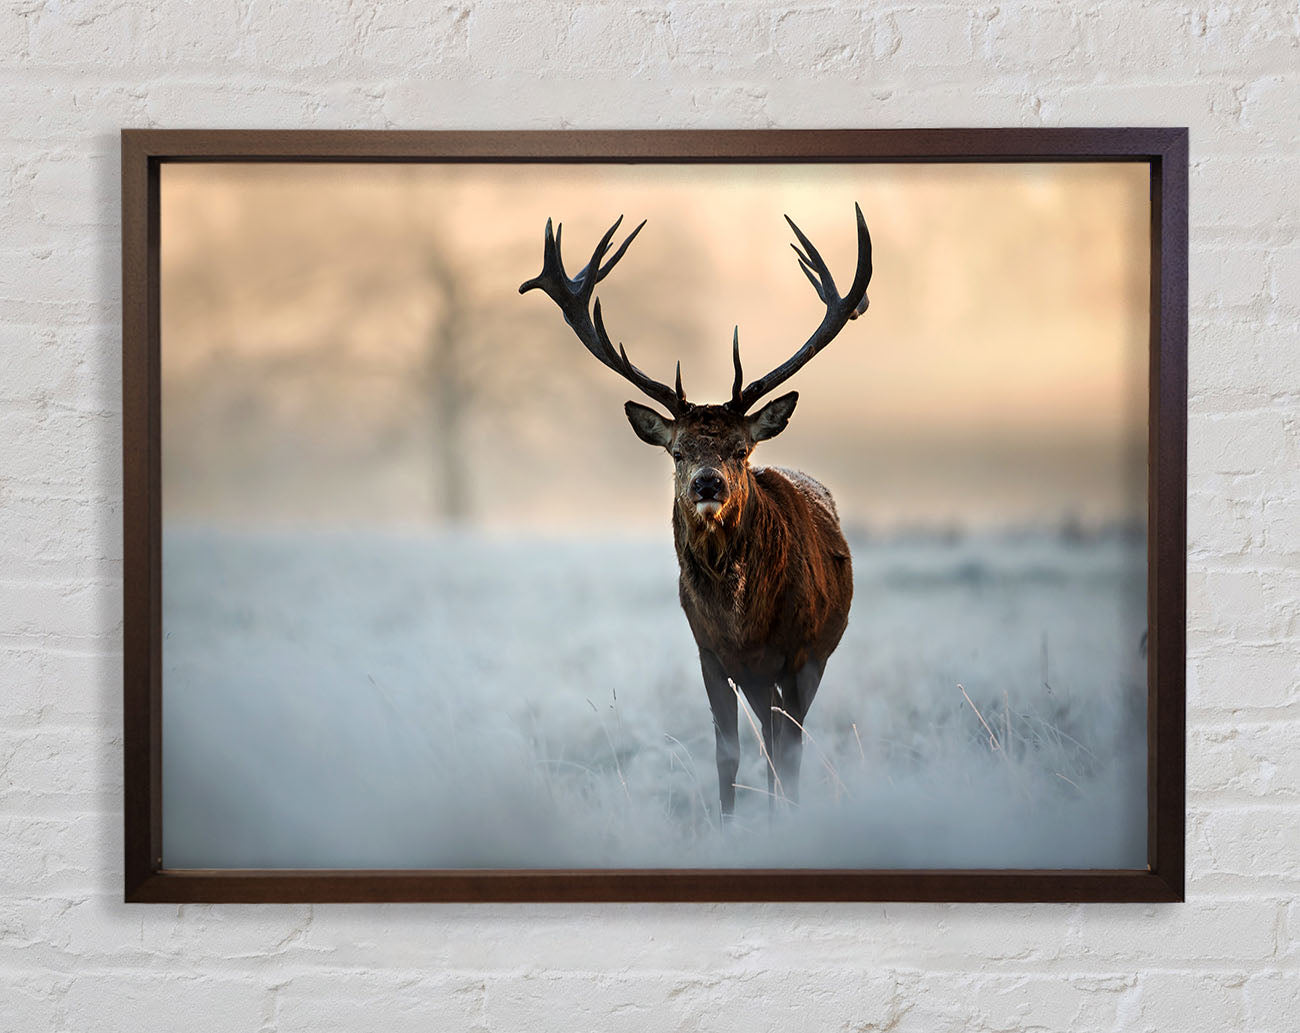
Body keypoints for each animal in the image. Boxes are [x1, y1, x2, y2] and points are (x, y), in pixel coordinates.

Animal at [520, 205, 872, 818]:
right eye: (678, 451)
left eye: (740, 449)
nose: (709, 483)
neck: (744, 624)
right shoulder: (709, 652)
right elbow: (728, 753)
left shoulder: (800, 653)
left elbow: (789, 751)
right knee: (768, 739)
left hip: (813, 656)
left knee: (784, 743)